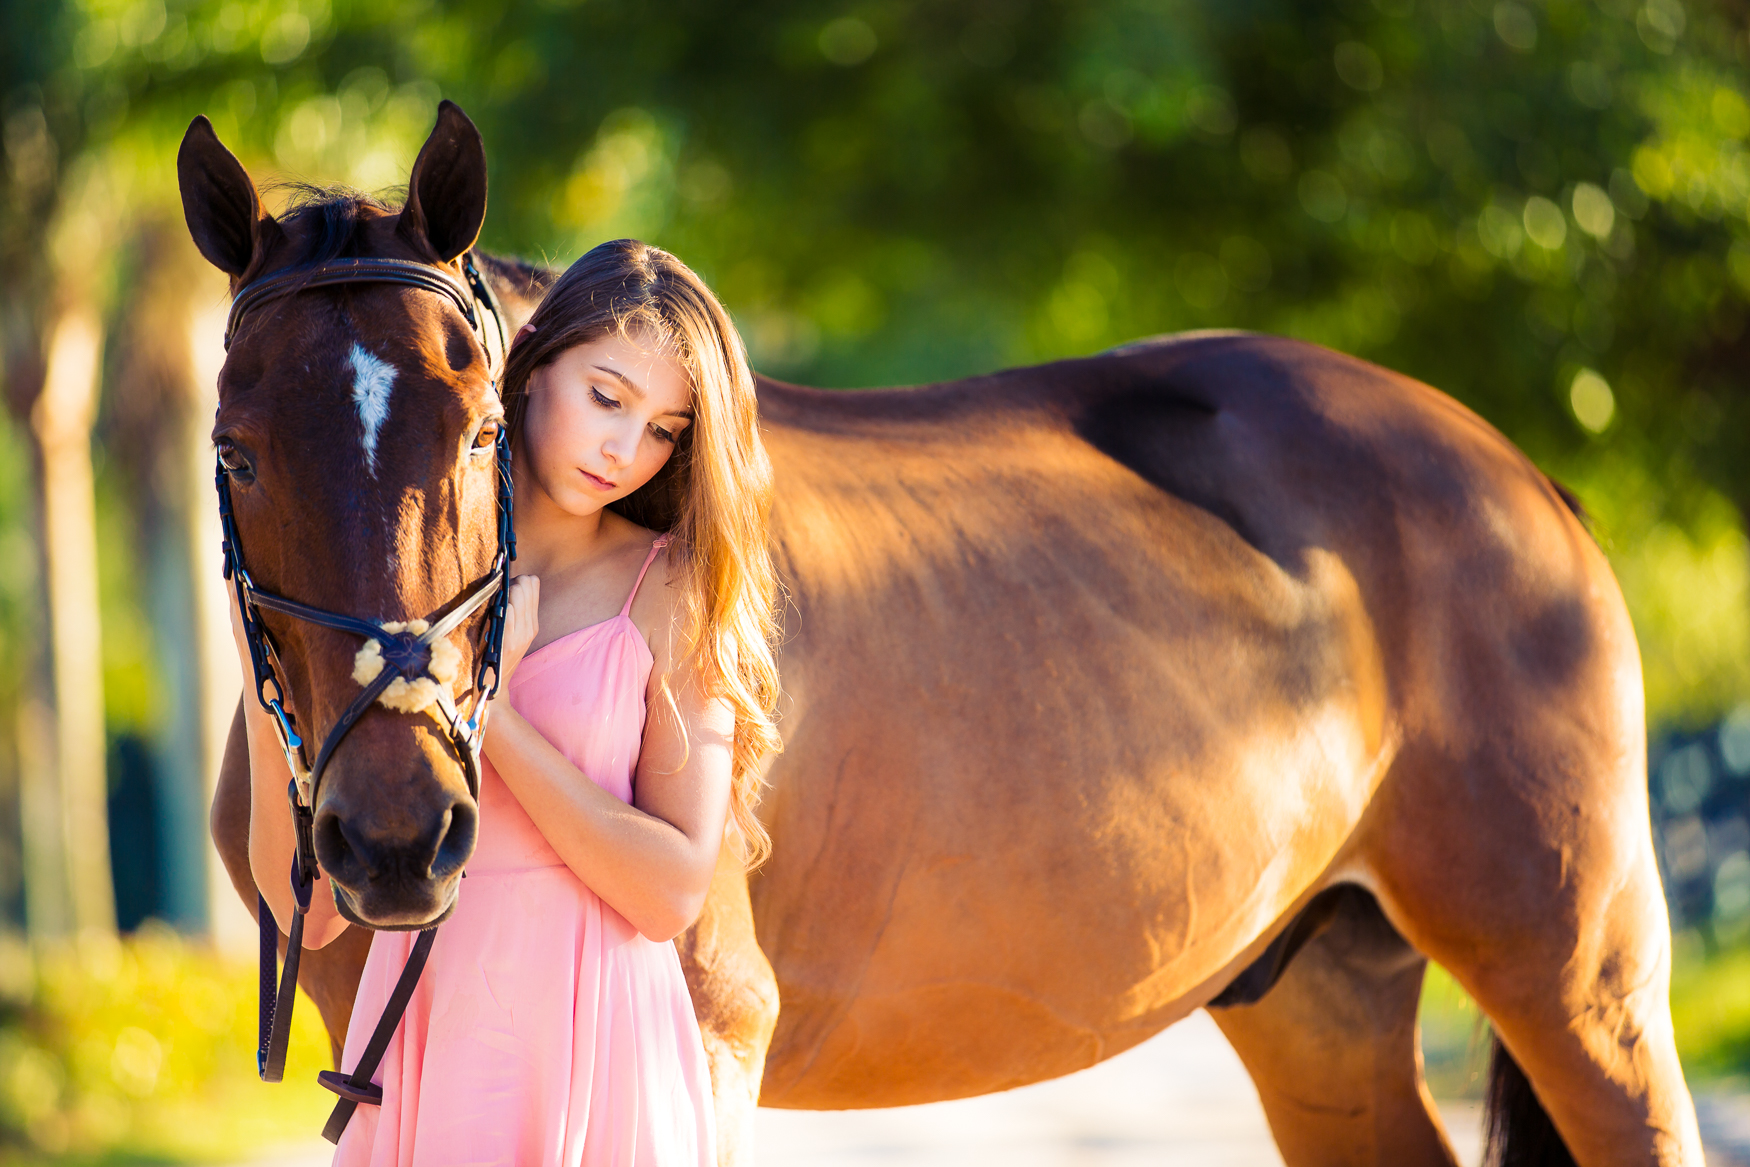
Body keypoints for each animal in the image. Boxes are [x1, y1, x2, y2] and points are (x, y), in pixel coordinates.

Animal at [184, 104, 1701, 1161]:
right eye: (237, 453)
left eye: (482, 429)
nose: (397, 835)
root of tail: (1516, 474)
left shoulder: (717, 1013)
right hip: (1320, 989)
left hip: (1580, 985)